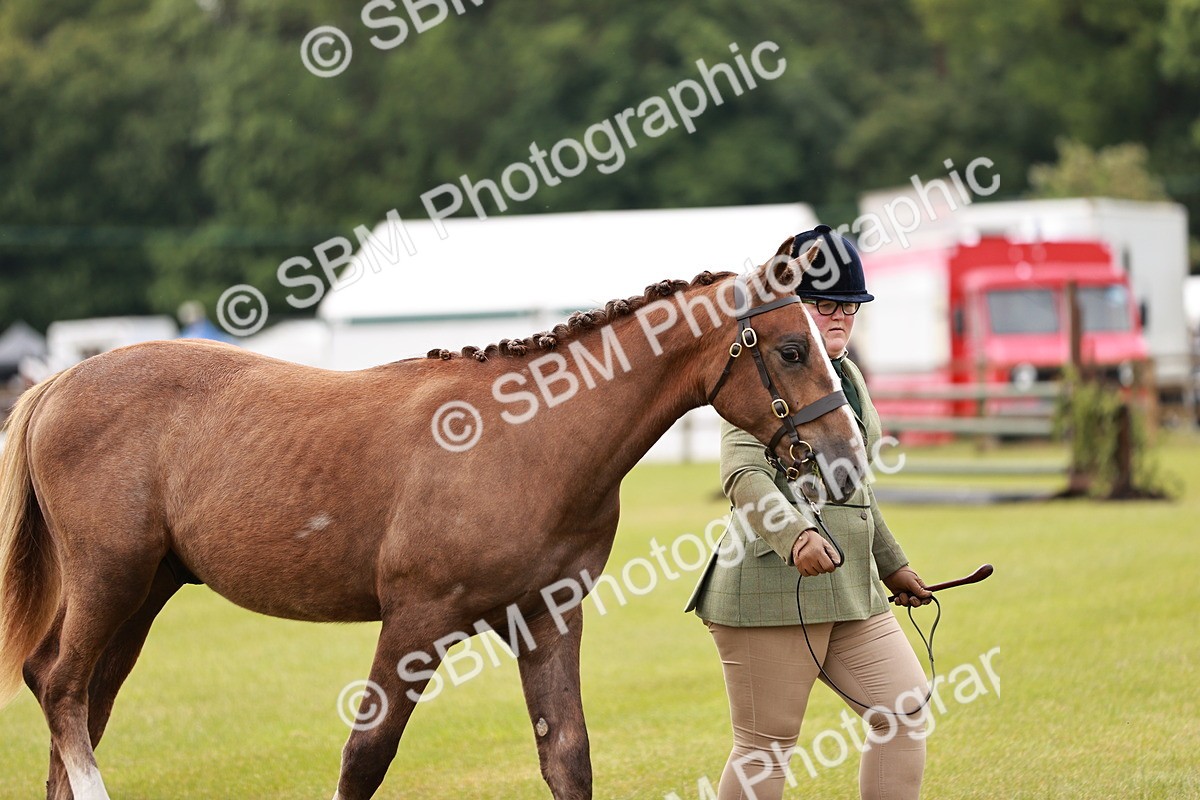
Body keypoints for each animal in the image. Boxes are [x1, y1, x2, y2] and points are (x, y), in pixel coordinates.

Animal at [0, 237, 866, 800]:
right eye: (792, 350)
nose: (845, 457)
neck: (529, 437)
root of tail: (60, 383)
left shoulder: (546, 620)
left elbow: (568, 758)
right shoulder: (415, 624)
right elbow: (366, 756)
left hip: (144, 593)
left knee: (77, 698)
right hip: (111, 579)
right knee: (63, 689)